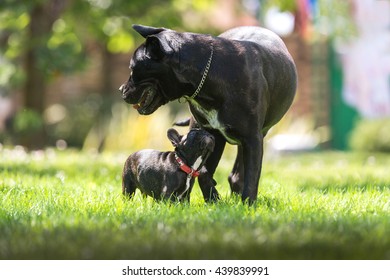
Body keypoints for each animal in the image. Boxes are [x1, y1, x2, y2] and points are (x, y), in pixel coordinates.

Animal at [120, 24, 298, 203]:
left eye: (132, 68)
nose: (121, 89)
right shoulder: (213, 136)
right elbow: (203, 172)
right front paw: (213, 198)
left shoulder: (252, 139)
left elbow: (251, 177)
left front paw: (247, 204)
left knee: (240, 174)